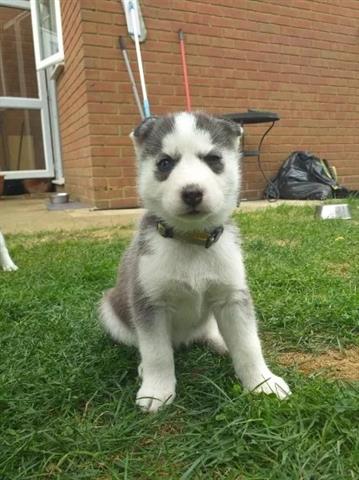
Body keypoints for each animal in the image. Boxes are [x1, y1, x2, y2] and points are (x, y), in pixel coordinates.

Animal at [100, 112, 292, 412]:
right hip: (110, 309)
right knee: (143, 344)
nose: (192, 192)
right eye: (165, 163)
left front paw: (263, 382)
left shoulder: (232, 297)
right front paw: (157, 390)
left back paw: (220, 341)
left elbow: (249, 345)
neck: (191, 241)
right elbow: (157, 353)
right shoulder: (149, 303)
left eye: (213, 159)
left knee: (209, 330)